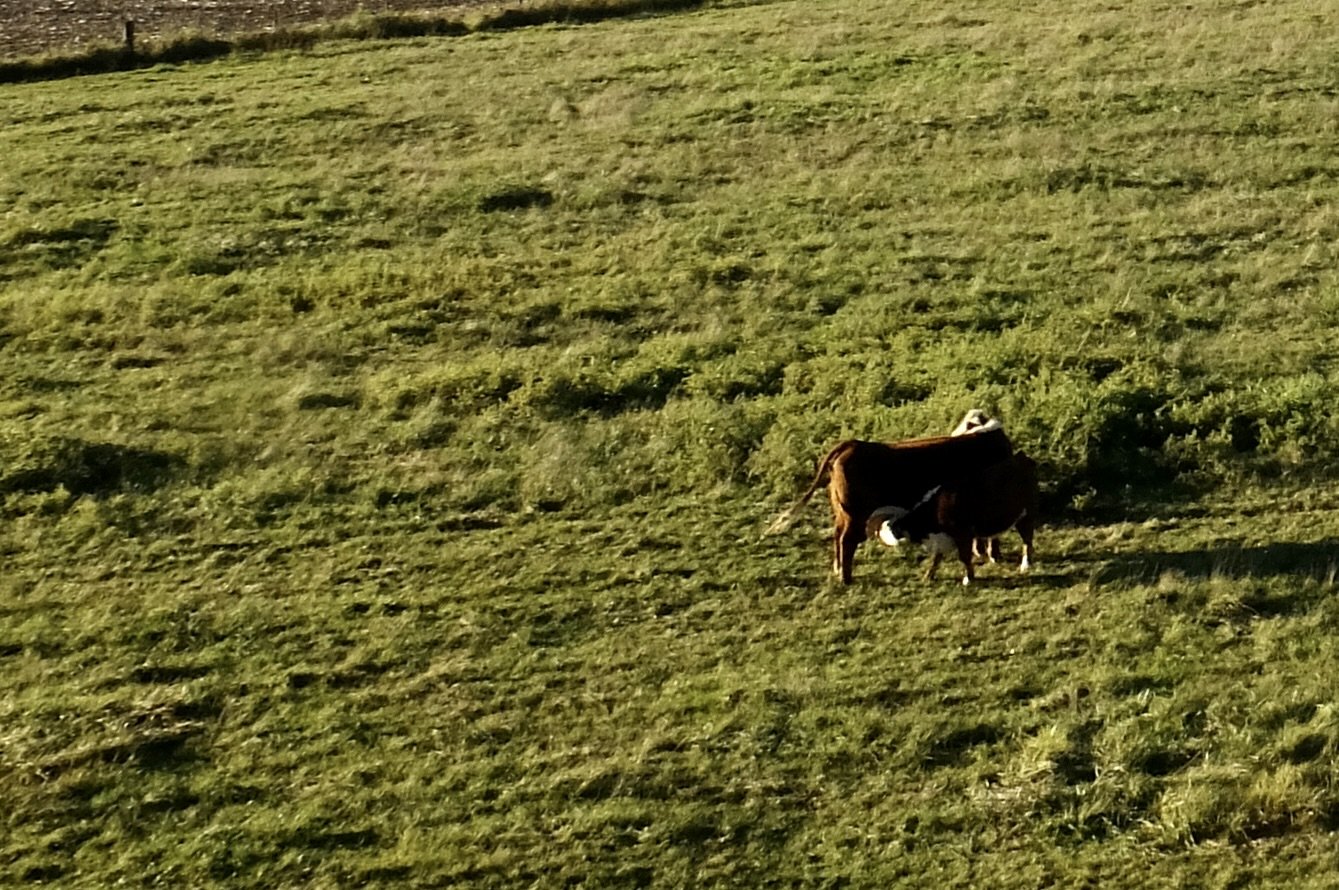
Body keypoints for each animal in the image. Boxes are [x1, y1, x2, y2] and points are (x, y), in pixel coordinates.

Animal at [766, 417, 1012, 583]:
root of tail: (853, 444)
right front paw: (992, 555)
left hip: (843, 512)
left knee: (837, 535)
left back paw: (838, 570)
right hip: (856, 515)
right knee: (847, 540)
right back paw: (846, 578)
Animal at [872, 452, 1038, 585]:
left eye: (892, 530)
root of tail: (1022, 458)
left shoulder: (963, 535)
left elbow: (964, 557)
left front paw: (968, 579)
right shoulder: (942, 539)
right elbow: (936, 558)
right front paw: (928, 577)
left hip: (1026, 517)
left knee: (1027, 542)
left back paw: (1025, 566)